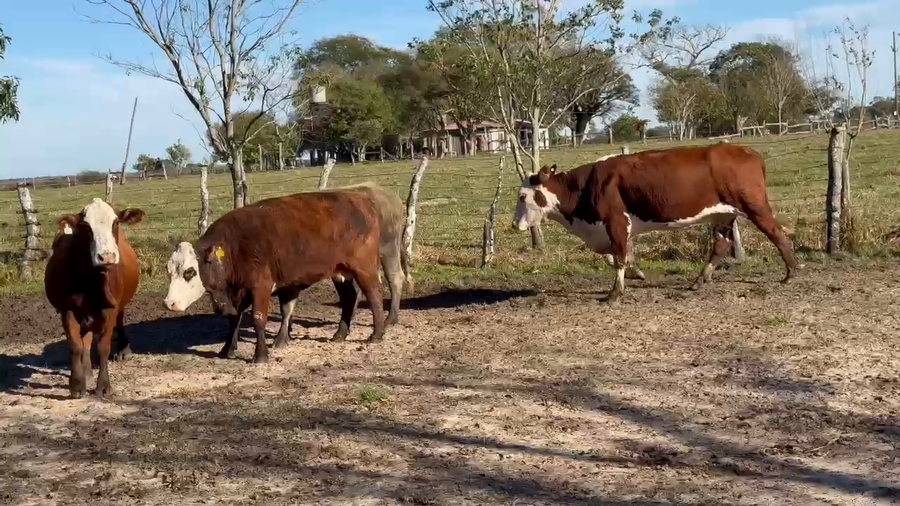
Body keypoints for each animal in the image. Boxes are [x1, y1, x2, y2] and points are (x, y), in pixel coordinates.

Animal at [44, 198, 145, 398]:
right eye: (85, 226)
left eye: (116, 222)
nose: (106, 257)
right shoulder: (67, 309)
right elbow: (76, 346)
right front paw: (77, 384)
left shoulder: (110, 310)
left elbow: (103, 347)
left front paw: (104, 386)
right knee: (85, 341)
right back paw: (86, 371)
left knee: (119, 321)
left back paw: (123, 349)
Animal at [163, 183, 412, 352]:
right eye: (169, 270)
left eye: (189, 271)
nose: (169, 303)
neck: (235, 246)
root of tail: (361, 197)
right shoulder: (254, 289)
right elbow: (245, 317)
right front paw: (229, 349)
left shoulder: (261, 286)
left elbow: (261, 317)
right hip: (341, 272)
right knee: (350, 298)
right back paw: (340, 333)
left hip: (367, 267)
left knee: (377, 293)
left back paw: (377, 333)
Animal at [513, 143, 798, 302]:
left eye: (522, 196)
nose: (515, 224)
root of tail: (746, 150)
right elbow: (621, 256)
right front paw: (636, 274)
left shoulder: (615, 222)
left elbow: (619, 257)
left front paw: (615, 294)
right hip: (722, 215)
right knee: (721, 244)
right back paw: (700, 279)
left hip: (754, 207)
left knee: (777, 233)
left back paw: (791, 273)